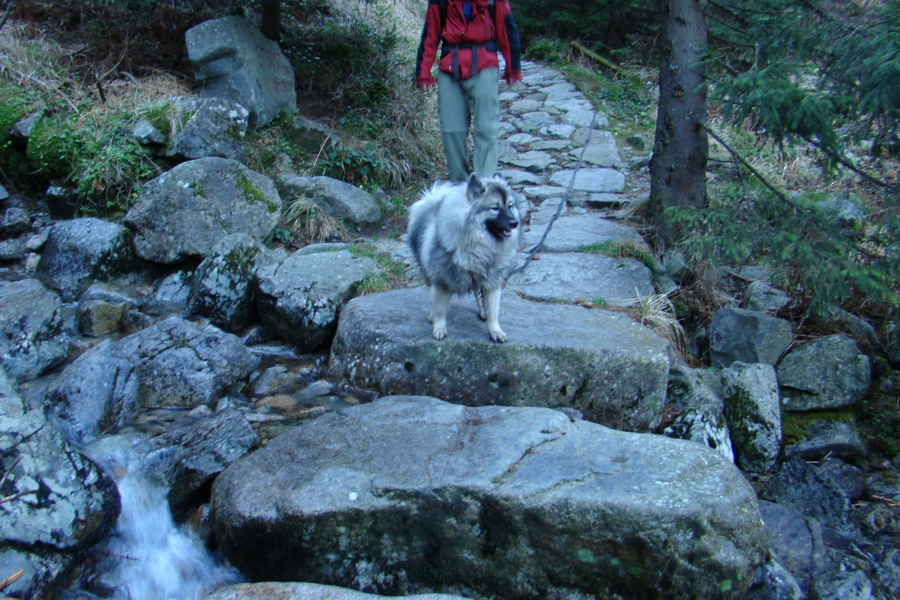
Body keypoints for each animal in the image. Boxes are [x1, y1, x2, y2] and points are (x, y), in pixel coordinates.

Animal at [408, 173, 520, 342]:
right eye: (495, 208)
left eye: (510, 206)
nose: (515, 222)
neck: (478, 244)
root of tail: (431, 200)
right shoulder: (442, 280)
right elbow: (440, 309)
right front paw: (439, 328)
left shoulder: (492, 282)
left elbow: (493, 310)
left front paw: (495, 331)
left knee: (478, 293)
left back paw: (482, 312)